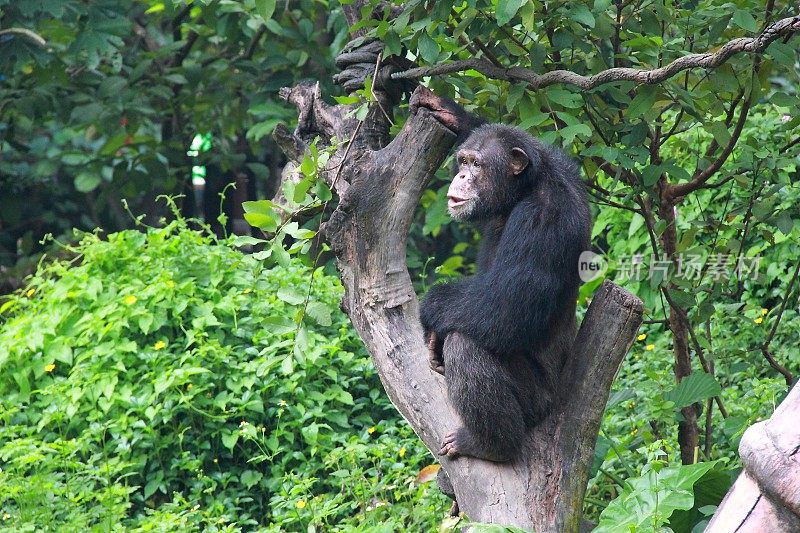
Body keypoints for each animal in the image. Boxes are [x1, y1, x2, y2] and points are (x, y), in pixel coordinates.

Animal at [416, 87, 592, 462]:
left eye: (477, 165)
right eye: (463, 161)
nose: (461, 176)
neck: (521, 192)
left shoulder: (543, 221)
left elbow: (507, 306)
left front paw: (431, 309)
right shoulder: (562, 164)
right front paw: (447, 110)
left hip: (537, 402)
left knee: (466, 344)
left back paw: (488, 444)